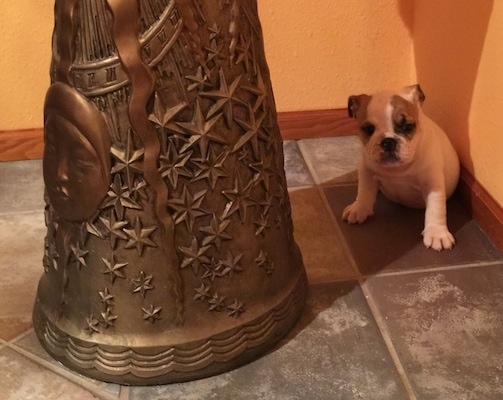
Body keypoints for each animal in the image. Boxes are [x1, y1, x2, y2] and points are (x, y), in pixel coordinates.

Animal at [344, 84, 458, 250]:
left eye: (408, 126)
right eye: (368, 129)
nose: (388, 142)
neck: (397, 170)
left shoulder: (433, 183)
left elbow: (435, 208)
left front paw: (436, 233)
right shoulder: (366, 170)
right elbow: (364, 192)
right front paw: (359, 208)